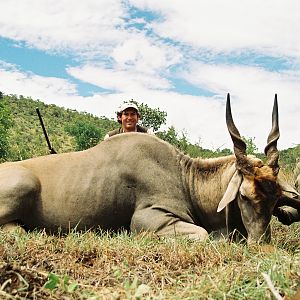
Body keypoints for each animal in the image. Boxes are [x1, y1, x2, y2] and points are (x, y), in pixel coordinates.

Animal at [0, 95, 296, 243]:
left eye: (275, 200)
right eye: (244, 196)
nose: (260, 243)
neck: (184, 177)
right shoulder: (148, 219)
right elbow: (202, 235)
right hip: (23, 185)